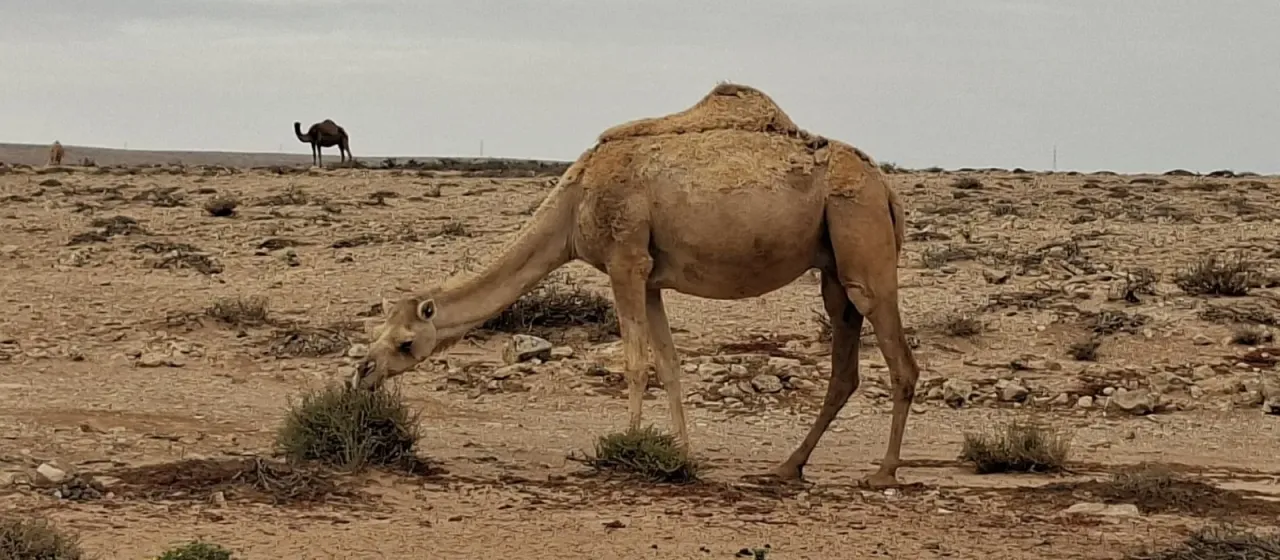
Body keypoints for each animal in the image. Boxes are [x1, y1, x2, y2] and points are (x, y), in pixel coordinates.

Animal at [351, 83, 921, 488]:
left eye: (405, 342)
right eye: (380, 333)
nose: (362, 372)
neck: (573, 203)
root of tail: (887, 188)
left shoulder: (624, 260)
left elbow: (634, 362)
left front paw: (625, 447)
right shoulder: (650, 276)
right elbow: (668, 363)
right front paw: (683, 453)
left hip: (861, 237)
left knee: (900, 360)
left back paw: (882, 473)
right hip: (833, 265)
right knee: (844, 366)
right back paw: (786, 467)